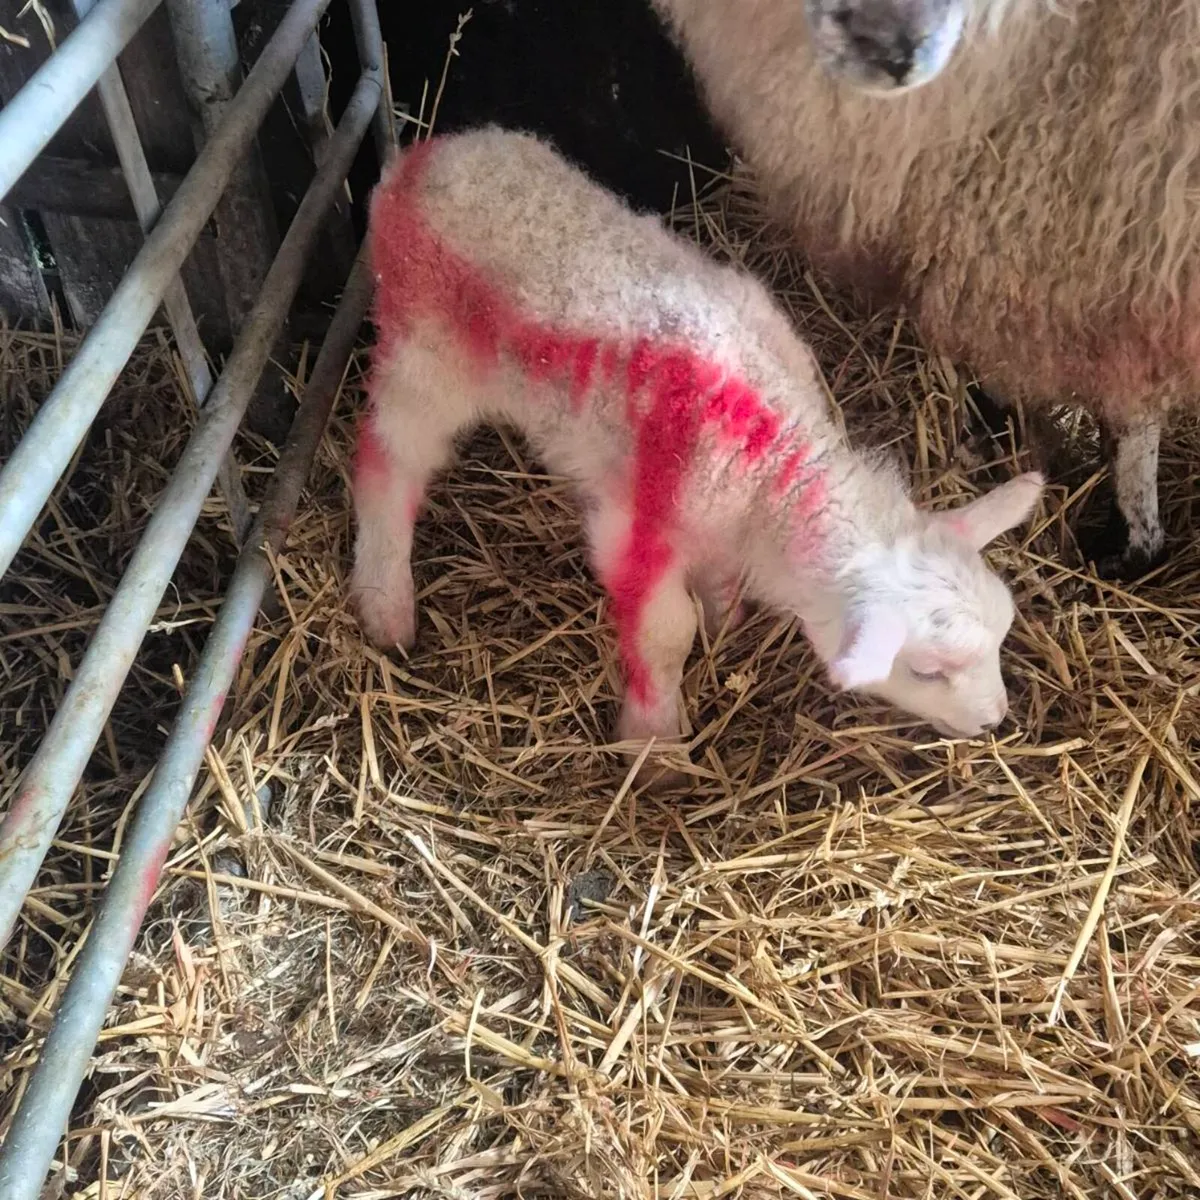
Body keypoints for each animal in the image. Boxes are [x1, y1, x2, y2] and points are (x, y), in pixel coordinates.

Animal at [350, 127, 1042, 765]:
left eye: (1003, 634)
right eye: (924, 671)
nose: (994, 720)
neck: (775, 459)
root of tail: (420, 158)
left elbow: (720, 582)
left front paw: (723, 618)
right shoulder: (640, 522)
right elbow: (664, 631)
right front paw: (655, 744)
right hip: (426, 351)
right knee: (389, 460)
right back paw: (385, 605)